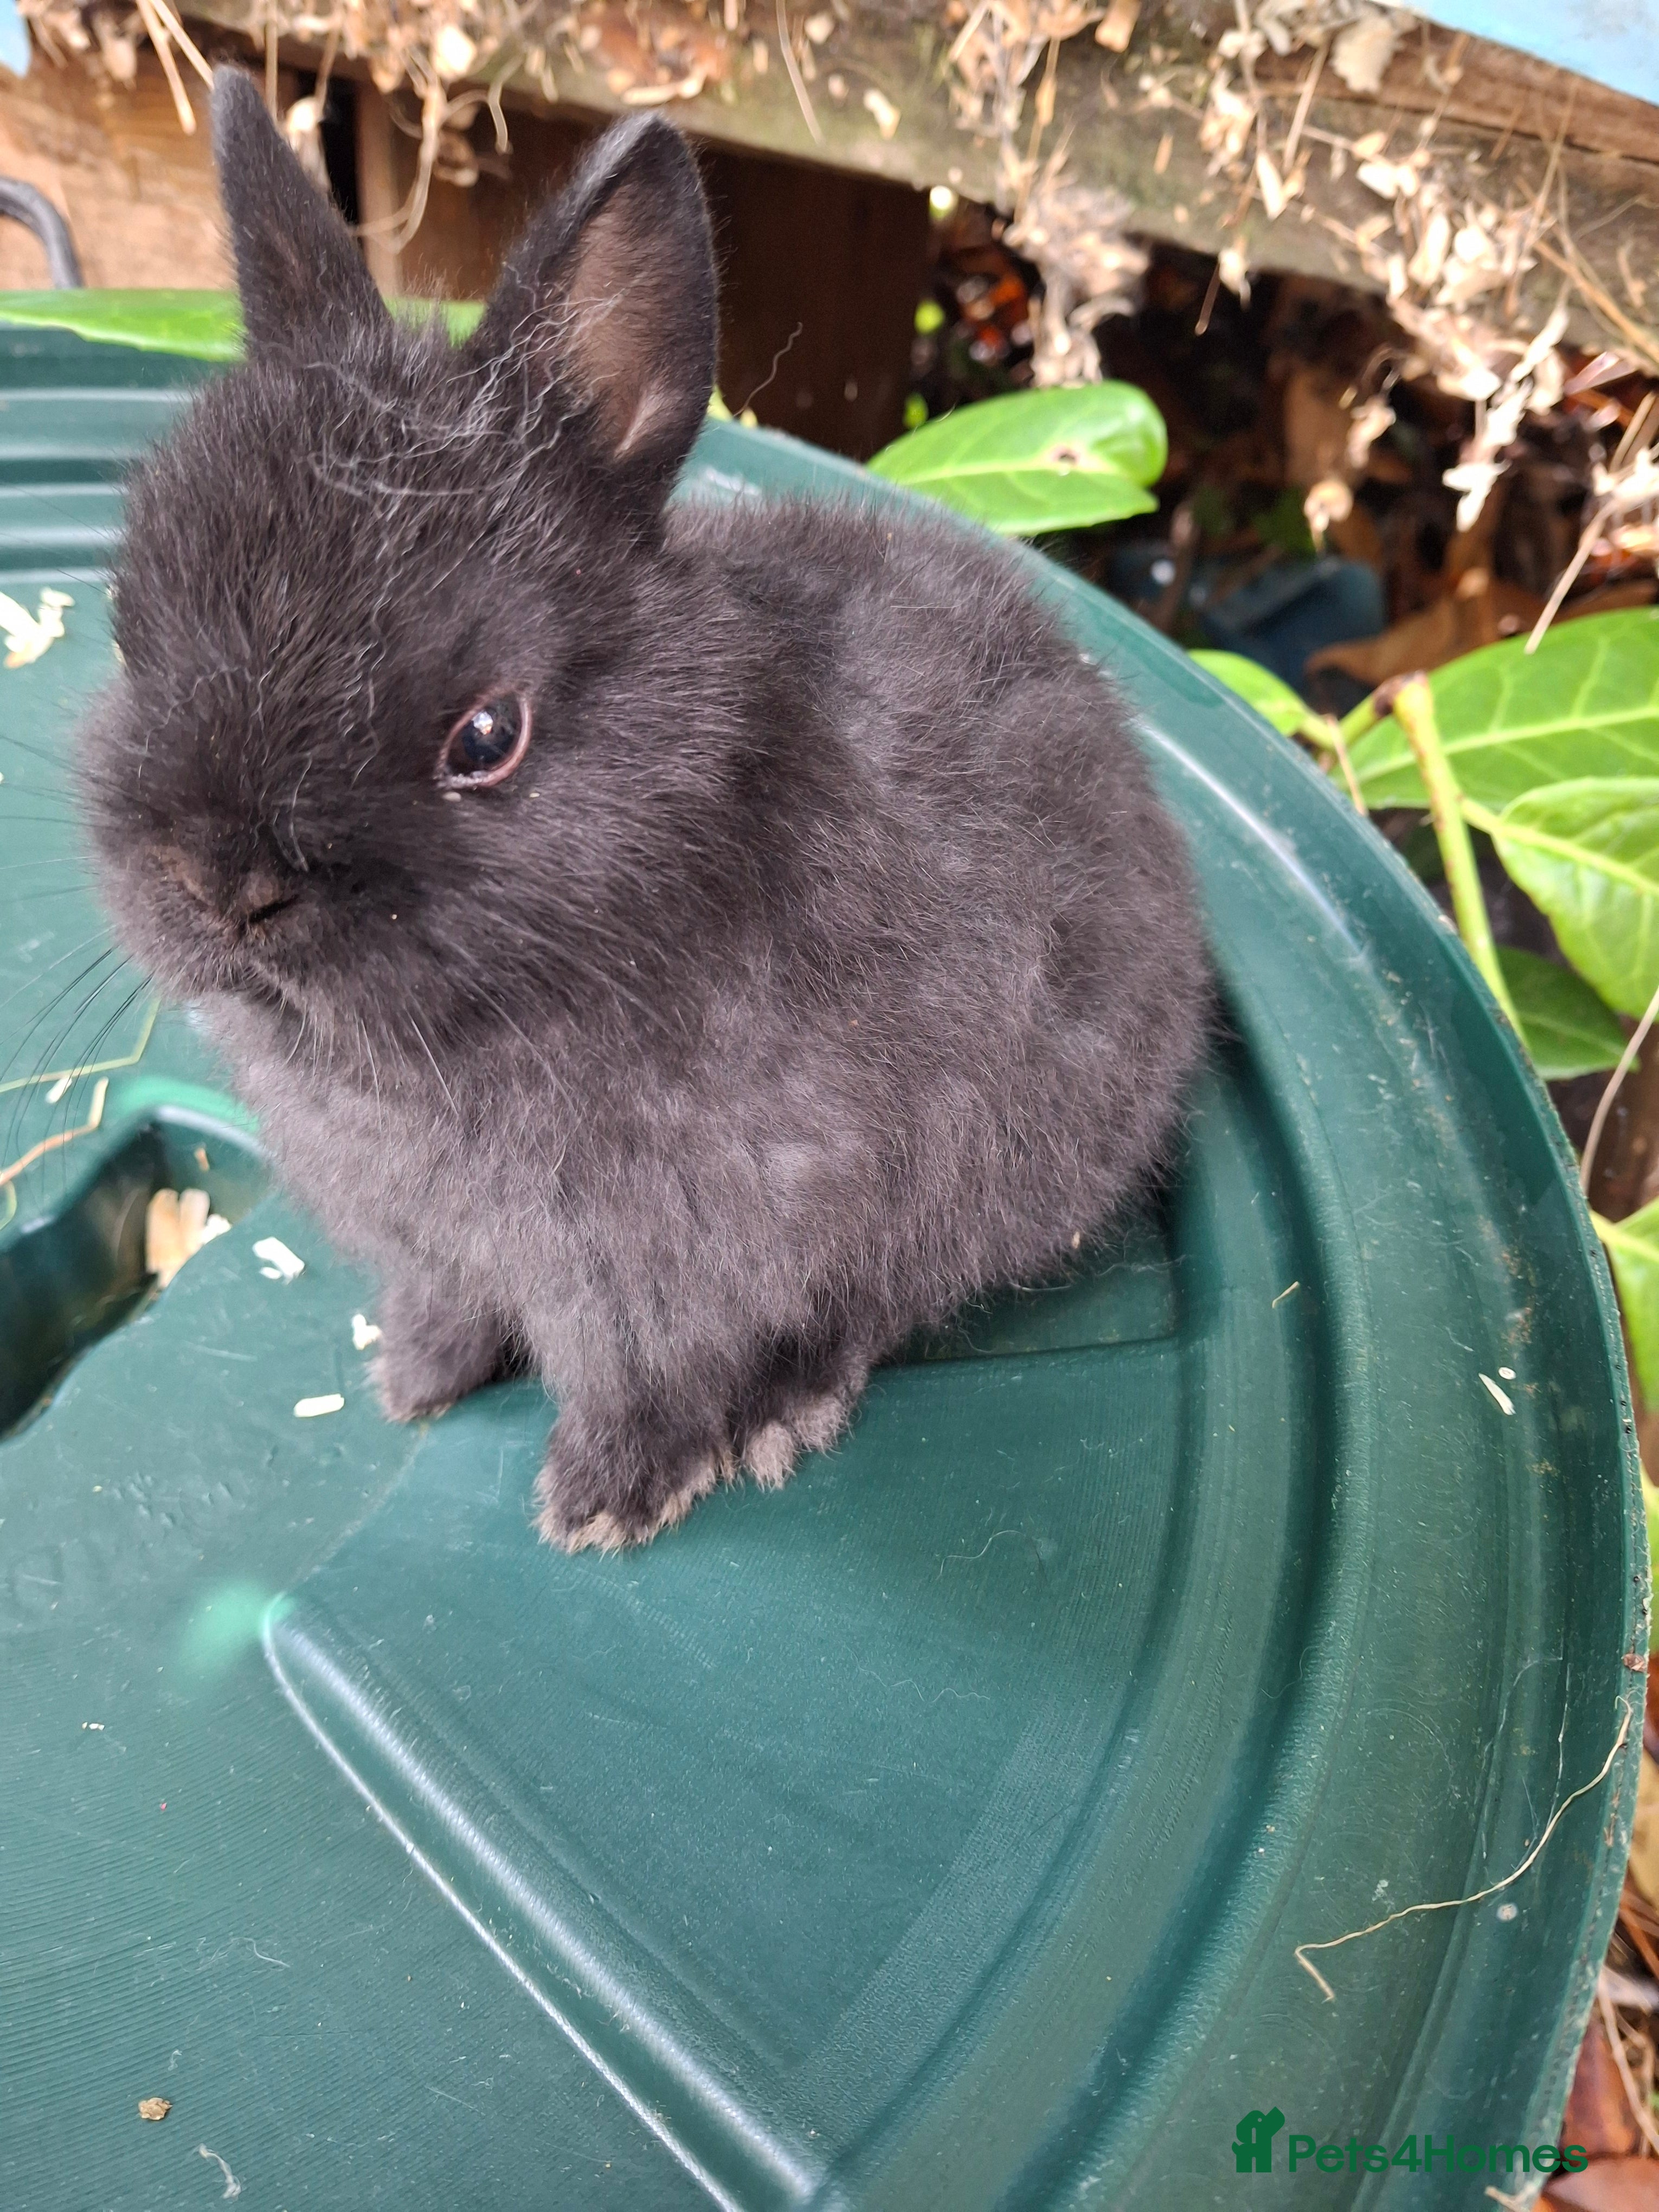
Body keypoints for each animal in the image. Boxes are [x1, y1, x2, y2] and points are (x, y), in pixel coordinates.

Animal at [79, 69, 1209, 1550]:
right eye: (127, 628)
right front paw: (416, 1378)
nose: (223, 885)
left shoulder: (668, 1272)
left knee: (886, 1300)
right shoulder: (444, 1243)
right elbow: (451, 1303)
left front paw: (605, 1499)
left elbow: (642, 1381)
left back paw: (786, 1411)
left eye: (486, 737)